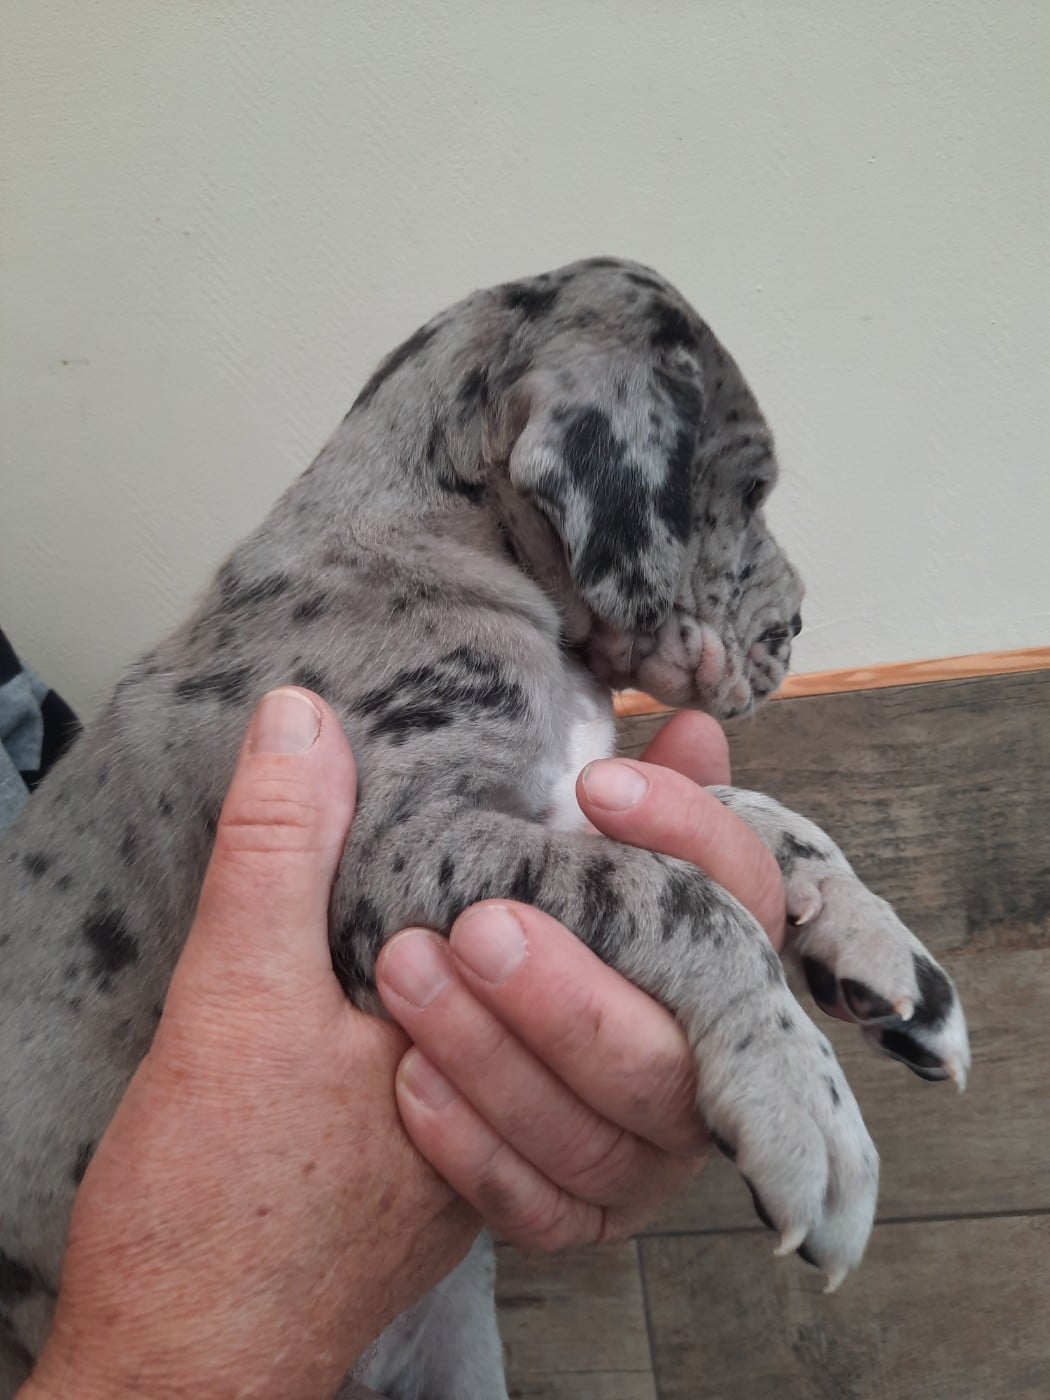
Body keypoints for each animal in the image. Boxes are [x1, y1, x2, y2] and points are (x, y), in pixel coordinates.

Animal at [0, 257, 970, 1397]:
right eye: (750, 492)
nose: (799, 627)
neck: (446, 539)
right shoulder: (396, 851)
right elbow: (680, 894)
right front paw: (805, 1105)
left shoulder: (577, 791)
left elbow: (764, 820)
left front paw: (885, 954)